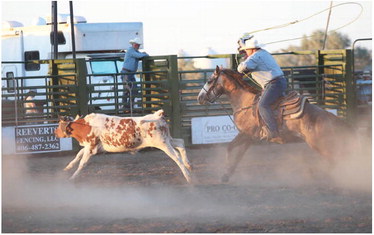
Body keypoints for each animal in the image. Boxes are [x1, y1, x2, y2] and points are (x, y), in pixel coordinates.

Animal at [55, 109, 193, 183]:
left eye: (59, 125)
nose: (55, 132)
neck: (86, 125)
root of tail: (157, 115)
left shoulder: (90, 148)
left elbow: (82, 163)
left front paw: (72, 177)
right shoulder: (90, 146)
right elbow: (78, 156)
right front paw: (67, 168)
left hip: (162, 143)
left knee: (176, 157)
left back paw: (189, 177)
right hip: (168, 139)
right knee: (180, 143)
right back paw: (189, 165)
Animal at [197, 66, 358, 184]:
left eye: (210, 80)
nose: (199, 97)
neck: (245, 102)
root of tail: (330, 117)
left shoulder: (246, 134)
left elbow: (230, 148)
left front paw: (225, 173)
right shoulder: (250, 138)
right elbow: (237, 154)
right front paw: (227, 174)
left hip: (320, 144)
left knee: (338, 159)